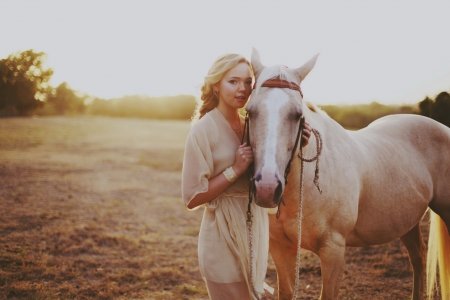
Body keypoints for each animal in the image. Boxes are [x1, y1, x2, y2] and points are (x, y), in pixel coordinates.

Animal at [246, 48, 450, 298]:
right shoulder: (281, 248)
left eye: (297, 114)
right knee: (418, 257)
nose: (266, 188)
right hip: (407, 220)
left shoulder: (333, 250)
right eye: (250, 112)